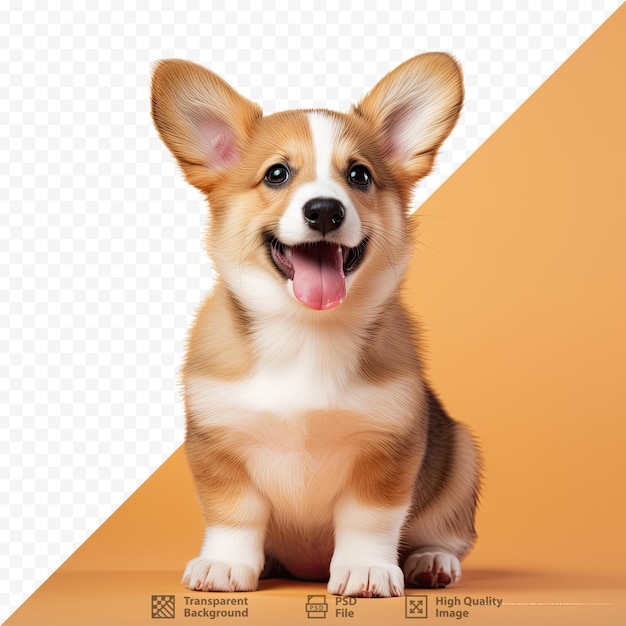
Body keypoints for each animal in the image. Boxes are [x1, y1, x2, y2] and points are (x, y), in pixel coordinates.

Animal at [150, 52, 478, 596]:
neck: (304, 331)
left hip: (462, 455)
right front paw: (224, 565)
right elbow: (234, 515)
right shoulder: (218, 445)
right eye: (277, 174)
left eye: (360, 175)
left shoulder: (388, 449)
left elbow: (369, 520)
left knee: (444, 533)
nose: (324, 210)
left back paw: (431, 560)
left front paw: (366, 569)